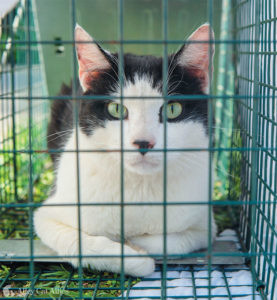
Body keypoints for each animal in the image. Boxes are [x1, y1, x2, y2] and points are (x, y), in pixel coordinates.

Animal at [34, 22, 216, 276]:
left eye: (173, 109)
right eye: (117, 109)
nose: (143, 142)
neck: (138, 186)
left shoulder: (205, 224)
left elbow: (175, 240)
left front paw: (135, 242)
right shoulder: (47, 215)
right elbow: (78, 242)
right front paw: (134, 257)